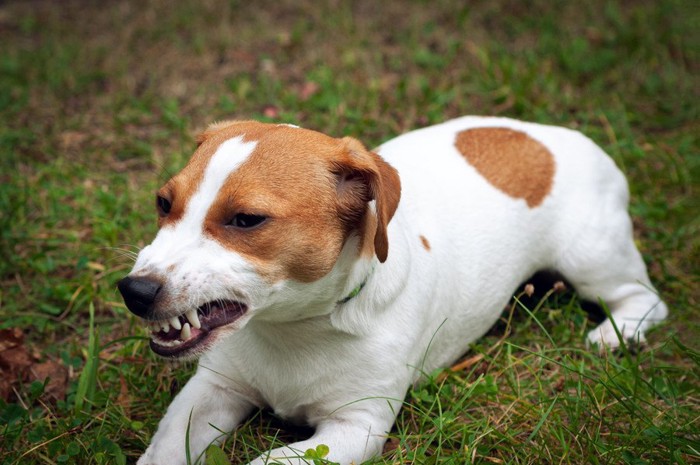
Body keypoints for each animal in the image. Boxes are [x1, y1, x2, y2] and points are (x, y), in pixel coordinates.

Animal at [119, 114, 668, 462]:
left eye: (247, 219)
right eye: (163, 202)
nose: (134, 291)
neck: (294, 331)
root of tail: (567, 137)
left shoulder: (355, 428)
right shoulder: (213, 389)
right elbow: (165, 449)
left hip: (591, 258)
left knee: (646, 298)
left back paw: (616, 333)